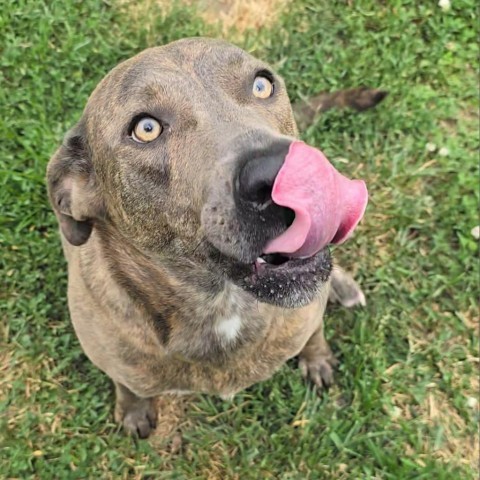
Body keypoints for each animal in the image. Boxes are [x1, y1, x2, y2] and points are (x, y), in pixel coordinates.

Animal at [47, 37, 384, 436]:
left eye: (262, 85)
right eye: (146, 128)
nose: (280, 174)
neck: (221, 304)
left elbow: (313, 331)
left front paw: (317, 357)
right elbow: (128, 384)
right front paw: (133, 409)